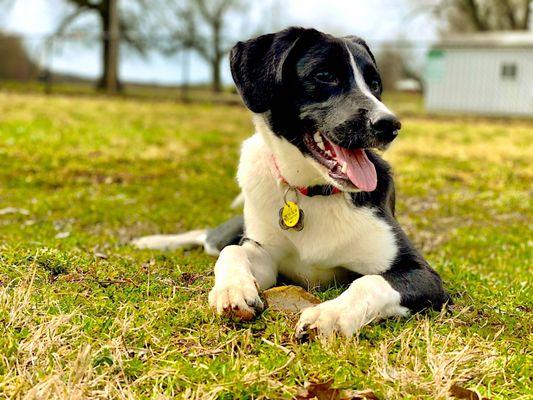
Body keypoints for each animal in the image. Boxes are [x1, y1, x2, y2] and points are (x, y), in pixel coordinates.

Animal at [133, 26, 448, 336]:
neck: (314, 190)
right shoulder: (265, 255)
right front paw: (233, 289)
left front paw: (330, 314)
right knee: (212, 238)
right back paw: (152, 241)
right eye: (324, 75)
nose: (389, 125)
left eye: (374, 83)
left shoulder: (422, 274)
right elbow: (234, 251)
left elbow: (369, 283)